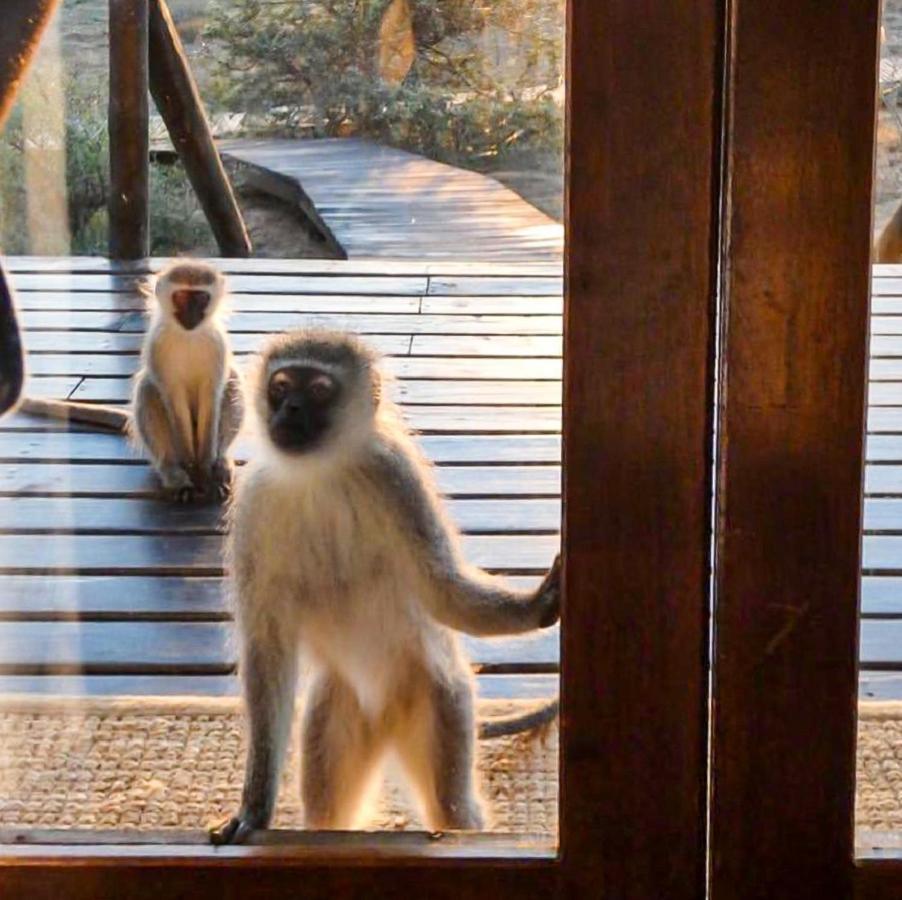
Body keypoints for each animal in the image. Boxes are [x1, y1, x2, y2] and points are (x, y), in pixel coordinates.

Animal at [22, 260, 244, 502]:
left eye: (201, 298)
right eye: (181, 297)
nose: (191, 314)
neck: (188, 336)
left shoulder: (218, 346)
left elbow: (212, 396)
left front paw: (205, 466)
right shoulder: (157, 347)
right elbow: (171, 397)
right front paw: (190, 466)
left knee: (232, 380)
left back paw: (220, 462)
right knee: (148, 389)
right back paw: (173, 472)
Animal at [215, 328, 560, 844]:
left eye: (319, 390)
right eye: (281, 386)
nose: (289, 410)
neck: (321, 473)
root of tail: (385, 720)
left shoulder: (396, 477)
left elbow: (441, 586)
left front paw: (537, 606)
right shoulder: (255, 503)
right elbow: (267, 649)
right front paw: (254, 809)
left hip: (441, 699)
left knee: (453, 807)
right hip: (336, 711)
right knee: (327, 812)